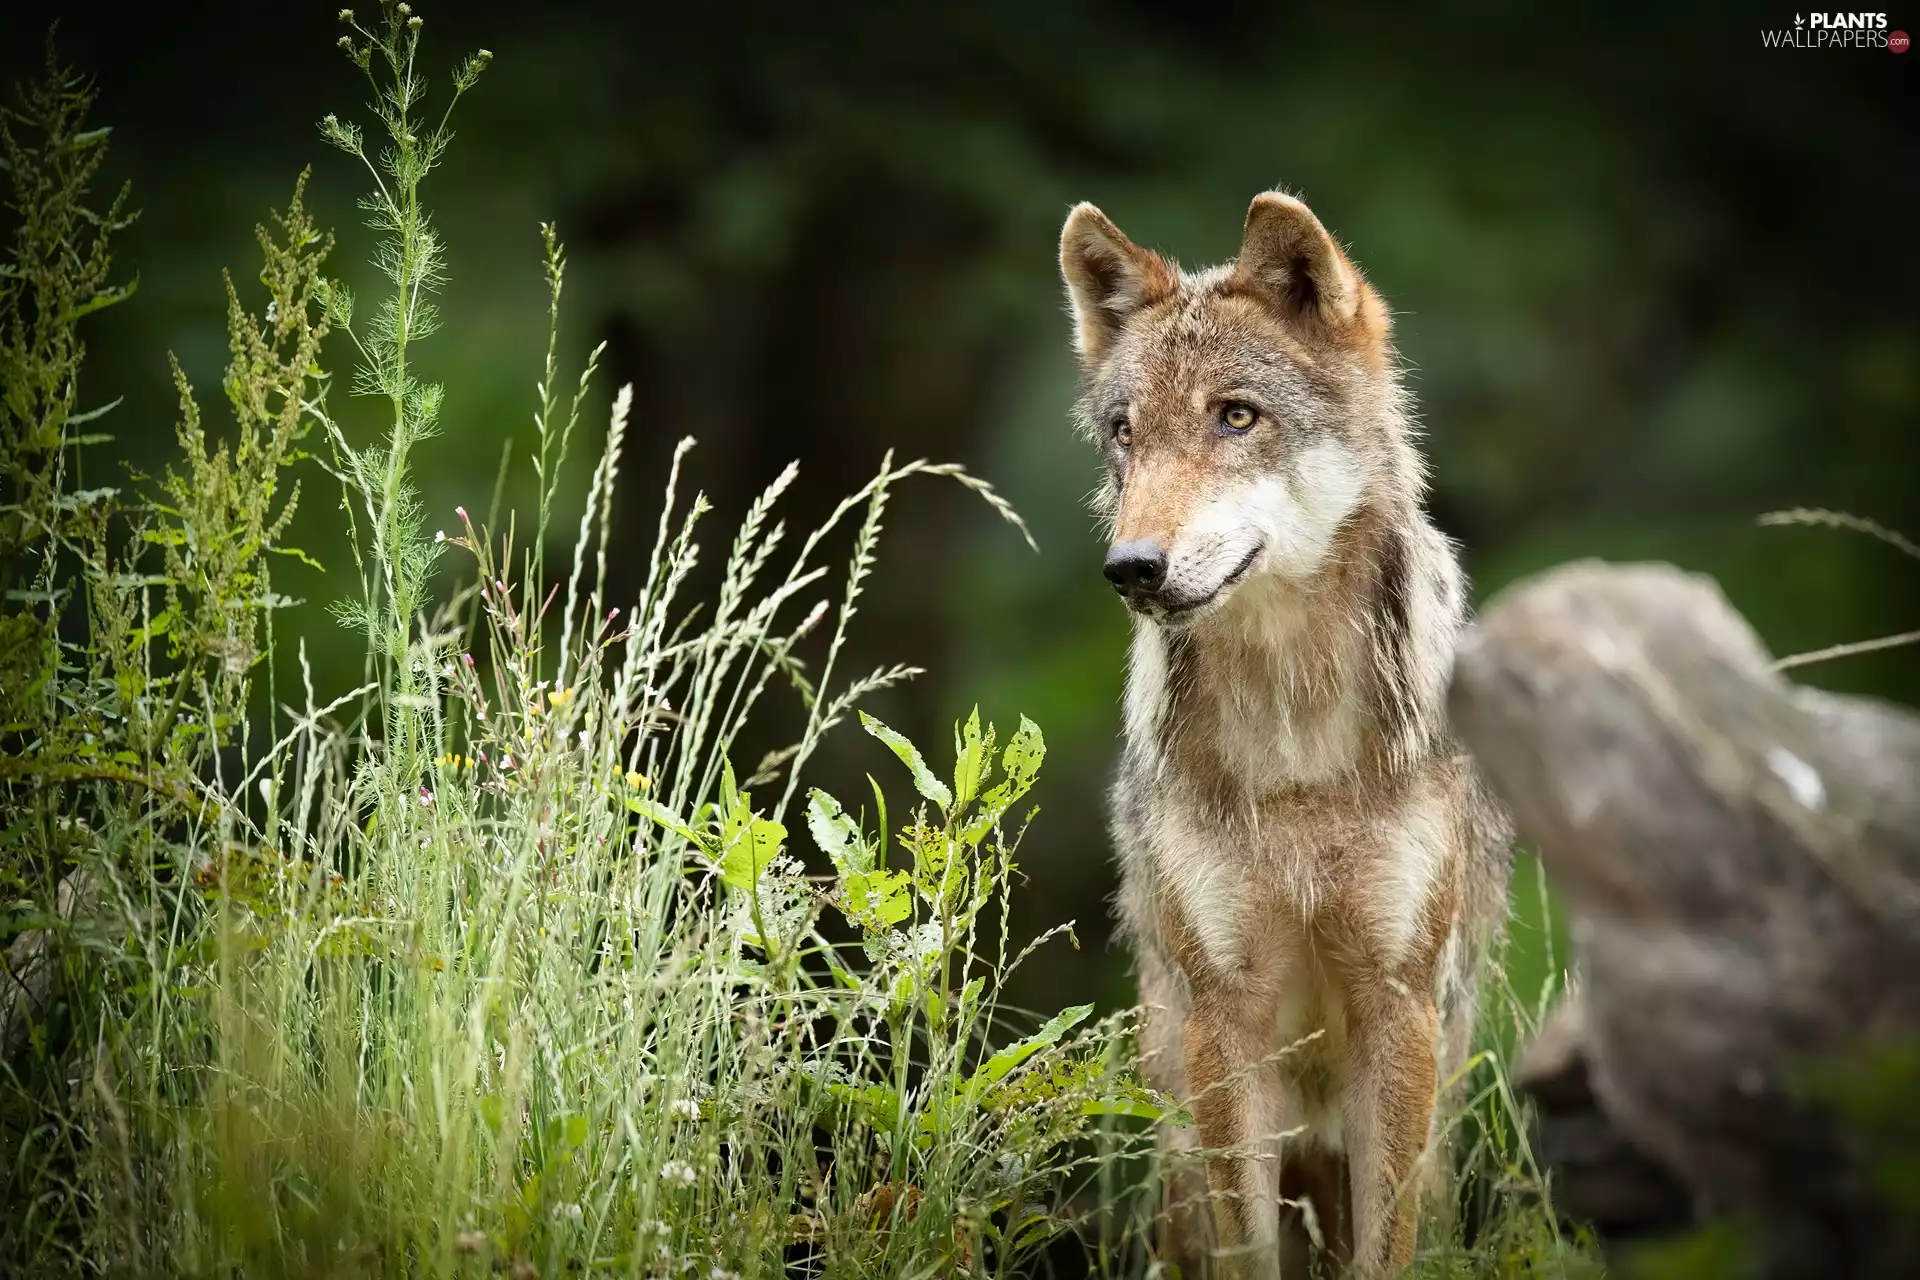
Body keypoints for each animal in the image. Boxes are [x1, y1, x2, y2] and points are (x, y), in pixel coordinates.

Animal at [1058, 192, 1513, 1278]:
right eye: (1125, 434)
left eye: (1236, 416)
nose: (1132, 565)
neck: (1295, 739)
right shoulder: (1227, 1016)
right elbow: (1247, 1248)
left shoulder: (1397, 1005)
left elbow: (1385, 1252)